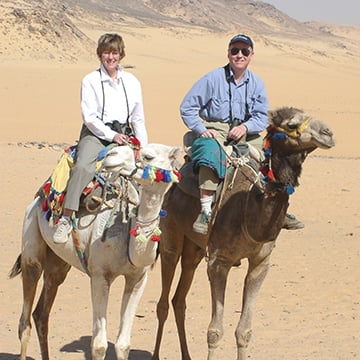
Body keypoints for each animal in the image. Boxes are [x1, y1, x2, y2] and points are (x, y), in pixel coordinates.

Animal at [8, 143, 183, 360]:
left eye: (148, 156)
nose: (111, 154)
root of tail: (35, 201)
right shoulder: (100, 276)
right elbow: (99, 345)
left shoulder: (138, 278)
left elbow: (123, 344)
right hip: (31, 242)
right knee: (25, 320)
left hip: (58, 264)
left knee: (41, 312)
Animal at [151, 107, 334, 360]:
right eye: (291, 124)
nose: (328, 133)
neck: (250, 209)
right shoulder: (218, 262)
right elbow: (214, 331)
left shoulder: (261, 262)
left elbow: (244, 331)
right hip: (171, 236)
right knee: (163, 302)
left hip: (194, 249)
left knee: (180, 299)